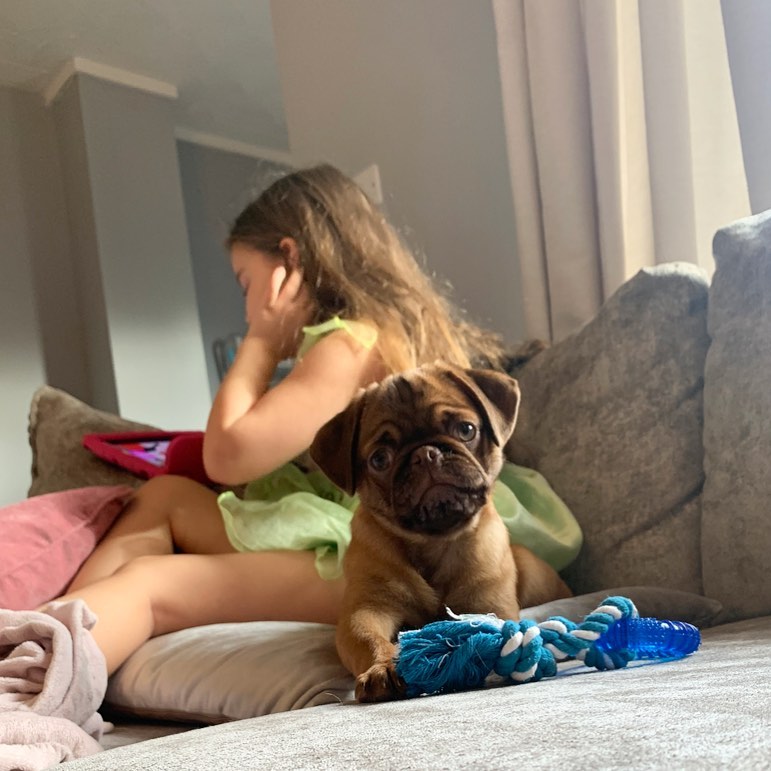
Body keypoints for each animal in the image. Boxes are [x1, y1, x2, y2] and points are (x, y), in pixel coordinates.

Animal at [309, 363, 571, 702]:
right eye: (380, 459)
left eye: (466, 430)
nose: (426, 454)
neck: (432, 542)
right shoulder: (367, 610)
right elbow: (369, 639)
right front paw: (384, 667)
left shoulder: (491, 603)